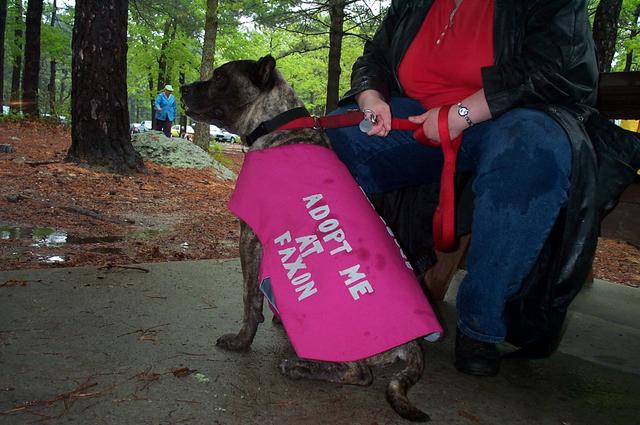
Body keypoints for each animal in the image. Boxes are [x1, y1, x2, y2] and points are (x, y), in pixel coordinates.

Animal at [181, 55, 430, 422]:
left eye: (220, 78)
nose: (182, 86)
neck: (276, 122)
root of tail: (411, 343)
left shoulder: (249, 238)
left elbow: (249, 299)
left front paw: (242, 341)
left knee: (360, 373)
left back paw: (300, 366)